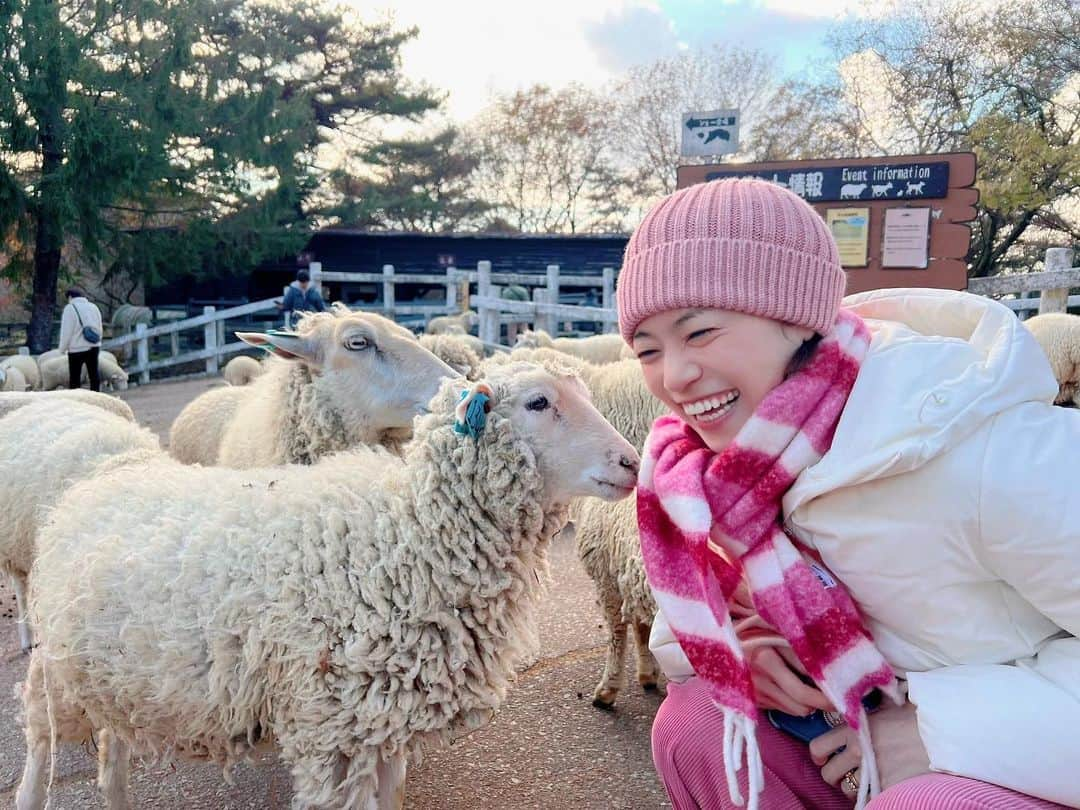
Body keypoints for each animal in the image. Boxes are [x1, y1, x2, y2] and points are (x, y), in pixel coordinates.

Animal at [21, 362, 639, 810]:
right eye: (538, 403)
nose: (631, 462)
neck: (406, 537)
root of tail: (98, 482)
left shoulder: (380, 725)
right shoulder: (329, 731)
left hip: (115, 682)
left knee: (113, 749)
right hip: (56, 674)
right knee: (40, 742)